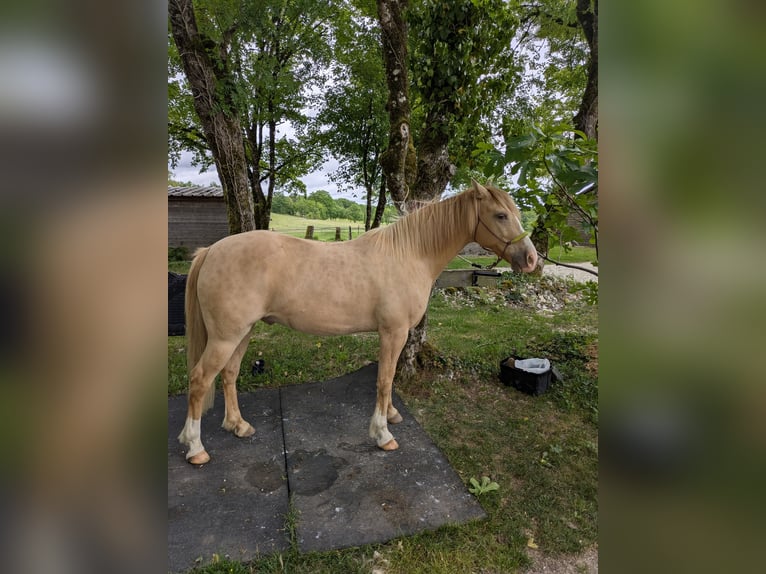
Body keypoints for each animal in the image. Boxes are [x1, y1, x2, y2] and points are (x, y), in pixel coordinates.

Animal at [178, 179, 538, 464]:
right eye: (501, 215)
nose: (531, 259)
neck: (411, 254)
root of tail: (211, 251)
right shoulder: (392, 333)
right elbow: (384, 380)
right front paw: (383, 434)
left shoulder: (398, 334)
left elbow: (389, 380)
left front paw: (391, 415)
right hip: (226, 337)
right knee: (199, 380)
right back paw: (196, 448)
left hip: (242, 333)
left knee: (229, 374)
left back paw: (238, 426)